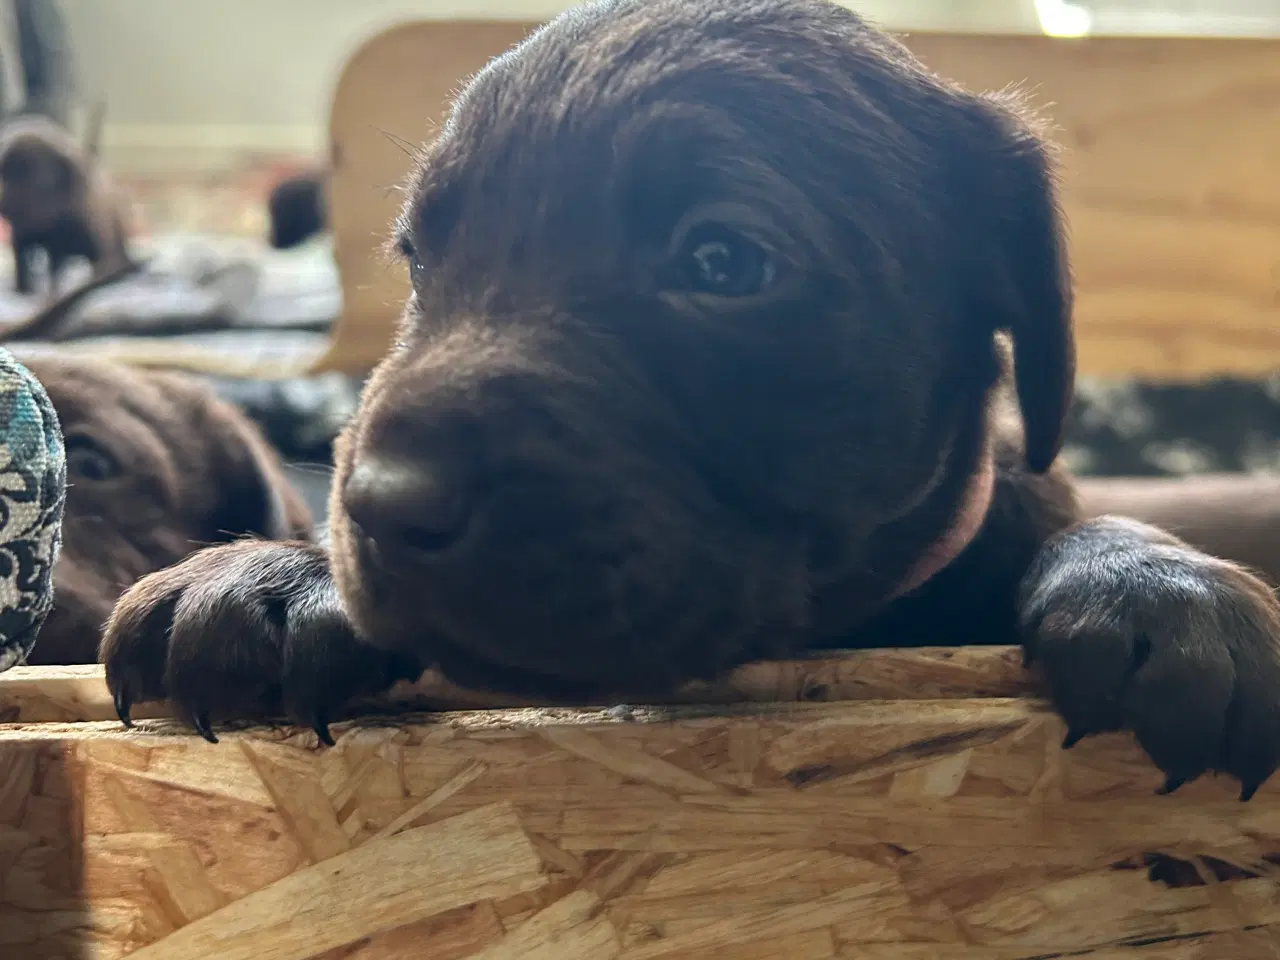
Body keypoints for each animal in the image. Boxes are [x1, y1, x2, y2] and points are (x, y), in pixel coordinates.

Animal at [97, 0, 1280, 798]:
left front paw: (1164, 585)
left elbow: (1083, 517)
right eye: (421, 259)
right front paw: (269, 573)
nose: (381, 505)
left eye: (724, 263)